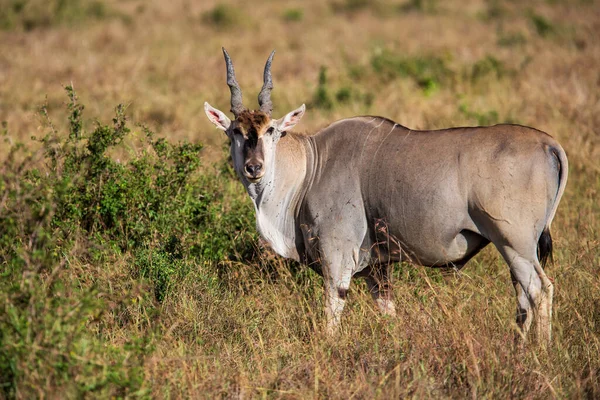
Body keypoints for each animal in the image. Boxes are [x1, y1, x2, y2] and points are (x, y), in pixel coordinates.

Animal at [205, 47, 568, 344]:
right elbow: (389, 314)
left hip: (514, 243)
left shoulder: (337, 260)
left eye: (271, 130)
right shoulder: (377, 271)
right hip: (515, 250)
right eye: (235, 132)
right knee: (523, 298)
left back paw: (542, 354)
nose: (254, 167)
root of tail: (548, 143)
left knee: (540, 289)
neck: (312, 165)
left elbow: (332, 315)